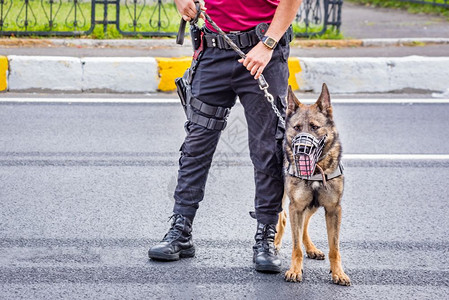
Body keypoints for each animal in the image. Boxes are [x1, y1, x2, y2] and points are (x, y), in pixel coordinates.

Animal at [272, 84, 350, 286]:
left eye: (315, 127)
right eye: (297, 127)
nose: (302, 149)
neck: (316, 168)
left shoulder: (333, 209)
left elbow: (334, 248)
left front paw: (338, 272)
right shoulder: (296, 206)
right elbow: (296, 246)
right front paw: (295, 270)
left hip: (313, 205)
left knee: (304, 225)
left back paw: (311, 248)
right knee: (282, 218)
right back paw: (274, 242)